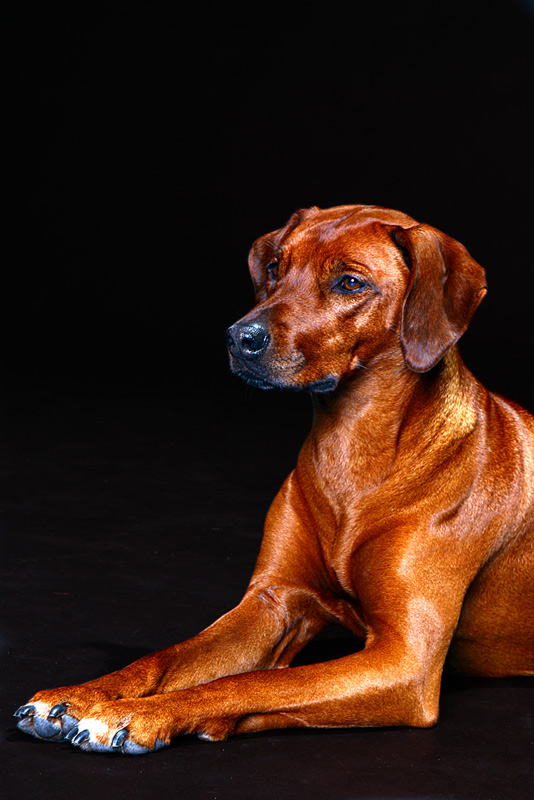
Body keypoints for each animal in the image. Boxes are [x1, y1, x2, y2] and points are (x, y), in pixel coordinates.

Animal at [14, 203, 532, 752]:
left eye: (350, 283)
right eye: (275, 268)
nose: (238, 338)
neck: (352, 446)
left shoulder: (405, 660)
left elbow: (254, 682)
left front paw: (140, 714)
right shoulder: (272, 604)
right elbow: (167, 656)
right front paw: (81, 695)